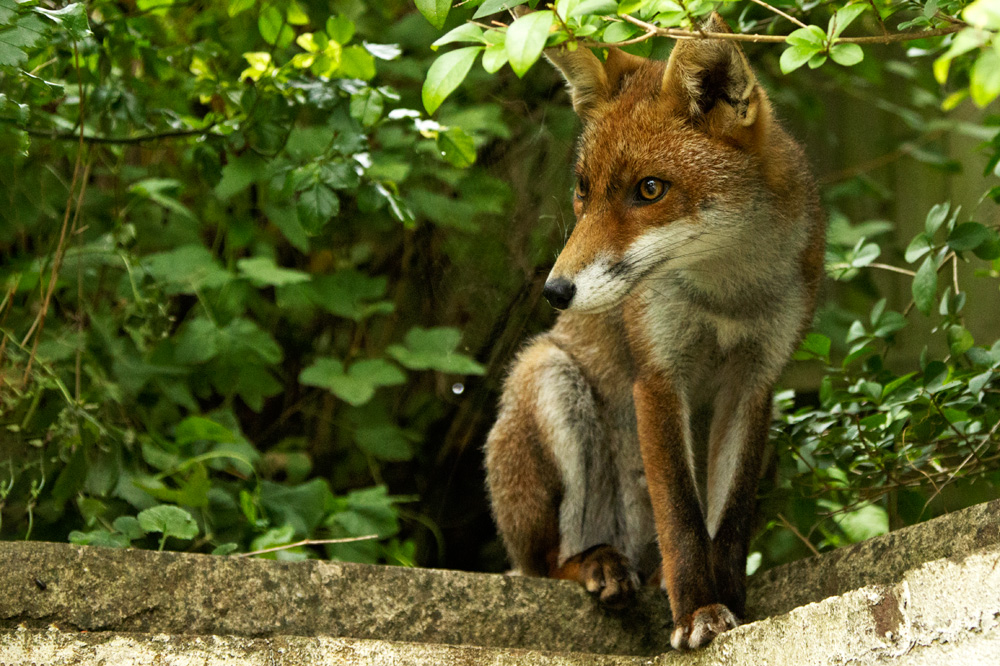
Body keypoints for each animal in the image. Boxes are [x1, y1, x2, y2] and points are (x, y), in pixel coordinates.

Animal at [484, 13, 825, 651]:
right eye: (583, 190)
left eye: (649, 189)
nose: (555, 292)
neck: (728, 293)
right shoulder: (659, 372)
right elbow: (682, 518)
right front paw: (697, 612)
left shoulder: (755, 379)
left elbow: (727, 521)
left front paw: (732, 604)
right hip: (546, 378)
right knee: (544, 565)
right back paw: (595, 565)